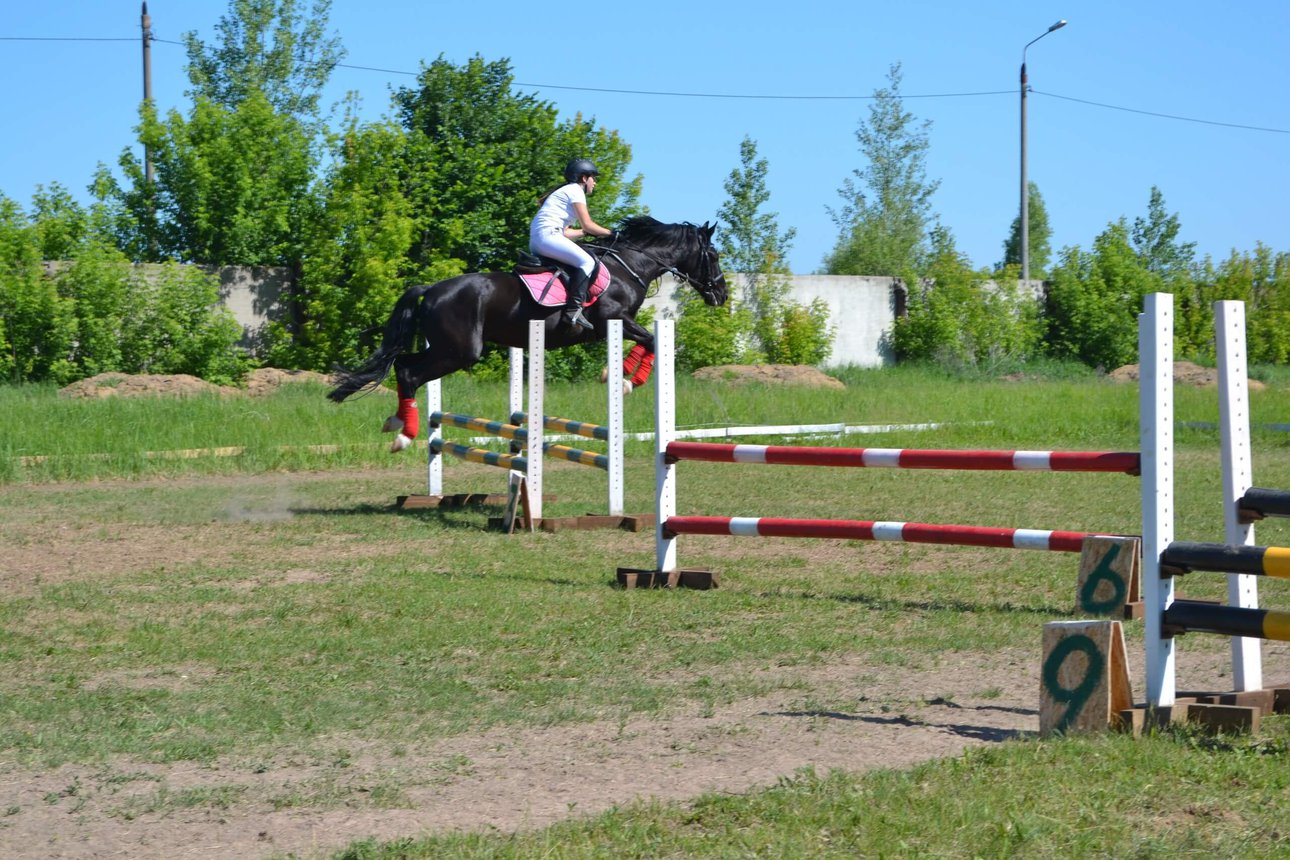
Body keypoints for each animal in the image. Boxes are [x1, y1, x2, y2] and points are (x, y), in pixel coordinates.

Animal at [325, 216, 727, 451]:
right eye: (714, 255)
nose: (721, 295)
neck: (629, 265)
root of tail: (432, 288)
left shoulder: (619, 323)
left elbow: (649, 342)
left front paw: (623, 376)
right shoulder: (613, 319)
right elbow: (651, 339)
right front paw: (626, 379)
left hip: (444, 348)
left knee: (402, 364)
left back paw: (396, 421)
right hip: (458, 351)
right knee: (408, 371)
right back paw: (403, 435)